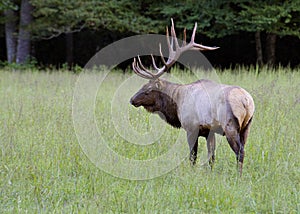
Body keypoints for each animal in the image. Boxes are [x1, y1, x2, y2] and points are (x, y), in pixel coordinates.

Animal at [130, 18, 254, 176]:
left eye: (148, 90)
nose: (132, 99)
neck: (177, 102)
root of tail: (247, 101)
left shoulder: (191, 127)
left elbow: (192, 156)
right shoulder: (209, 132)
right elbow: (211, 157)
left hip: (230, 125)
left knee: (240, 152)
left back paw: (238, 177)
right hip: (247, 126)